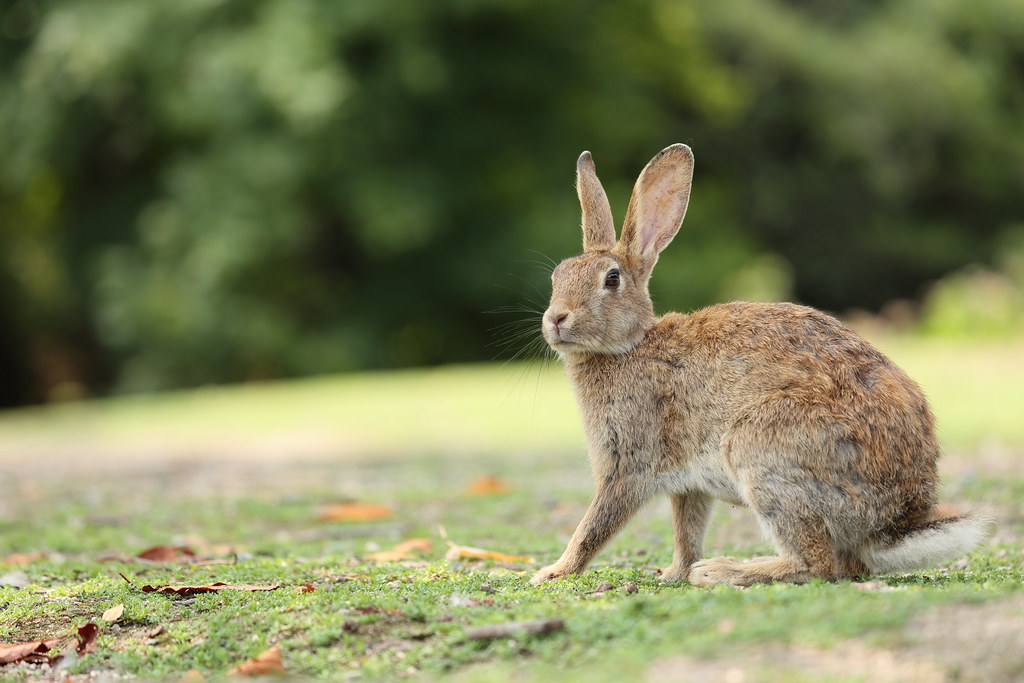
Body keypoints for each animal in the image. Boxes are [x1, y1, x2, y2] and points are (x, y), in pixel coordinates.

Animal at [531, 143, 989, 587]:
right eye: (557, 276)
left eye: (611, 279)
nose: (556, 319)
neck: (630, 345)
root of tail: (896, 520)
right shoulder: (688, 485)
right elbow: (686, 529)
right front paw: (673, 573)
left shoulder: (628, 462)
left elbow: (596, 524)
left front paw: (553, 572)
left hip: (763, 451)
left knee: (817, 565)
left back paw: (724, 571)